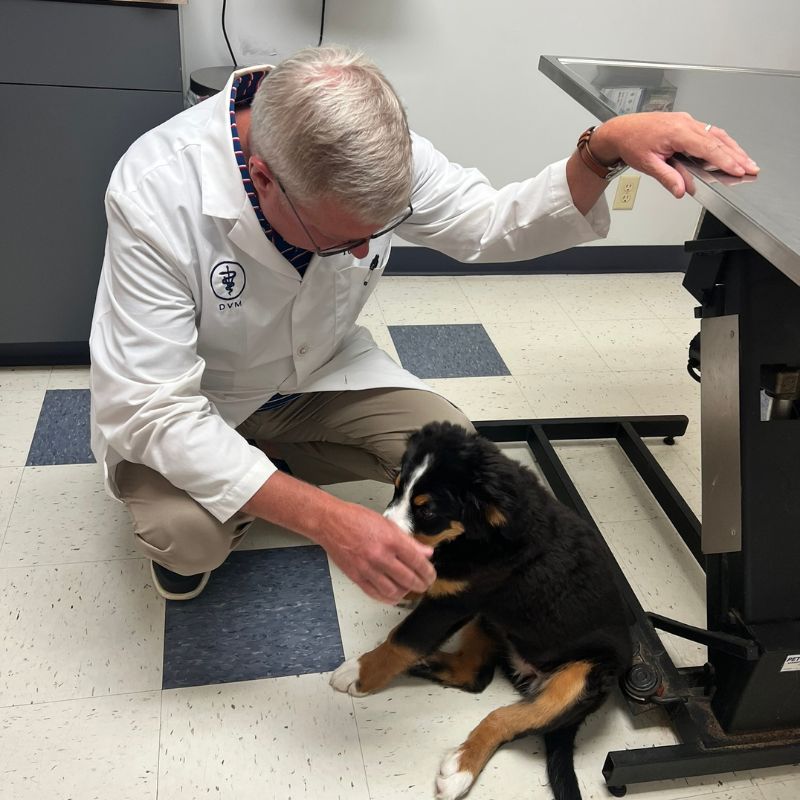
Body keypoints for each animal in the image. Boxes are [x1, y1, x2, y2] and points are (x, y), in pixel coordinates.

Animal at [330, 422, 632, 796]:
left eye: (427, 510)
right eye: (396, 488)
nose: (374, 537)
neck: (475, 536)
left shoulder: (453, 603)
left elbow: (403, 640)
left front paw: (359, 672)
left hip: (580, 677)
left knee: (506, 717)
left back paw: (460, 769)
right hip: (491, 620)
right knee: (475, 674)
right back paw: (427, 664)